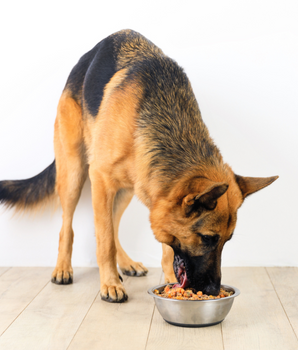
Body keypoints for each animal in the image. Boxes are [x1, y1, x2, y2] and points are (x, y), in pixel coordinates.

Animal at [0, 30, 278, 302]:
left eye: (227, 240)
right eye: (208, 238)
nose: (211, 290)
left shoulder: (156, 194)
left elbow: (158, 246)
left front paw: (166, 278)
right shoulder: (101, 178)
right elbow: (105, 241)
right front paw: (109, 284)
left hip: (127, 190)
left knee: (111, 225)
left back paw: (125, 264)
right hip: (74, 174)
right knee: (69, 226)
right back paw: (63, 268)